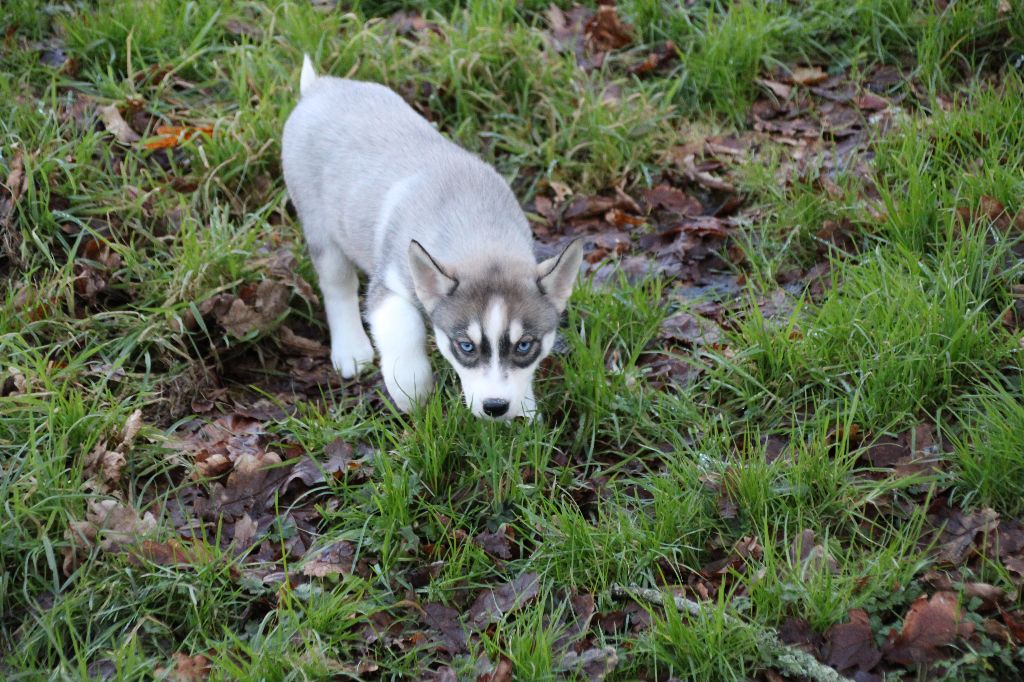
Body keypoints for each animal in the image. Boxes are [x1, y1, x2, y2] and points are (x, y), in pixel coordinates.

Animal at [281, 56, 583, 420]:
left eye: (524, 346)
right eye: (465, 346)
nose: (495, 407)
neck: (477, 226)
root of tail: (319, 87)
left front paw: (524, 408)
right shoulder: (389, 286)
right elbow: (402, 329)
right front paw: (411, 390)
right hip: (320, 229)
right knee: (337, 285)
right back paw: (351, 348)